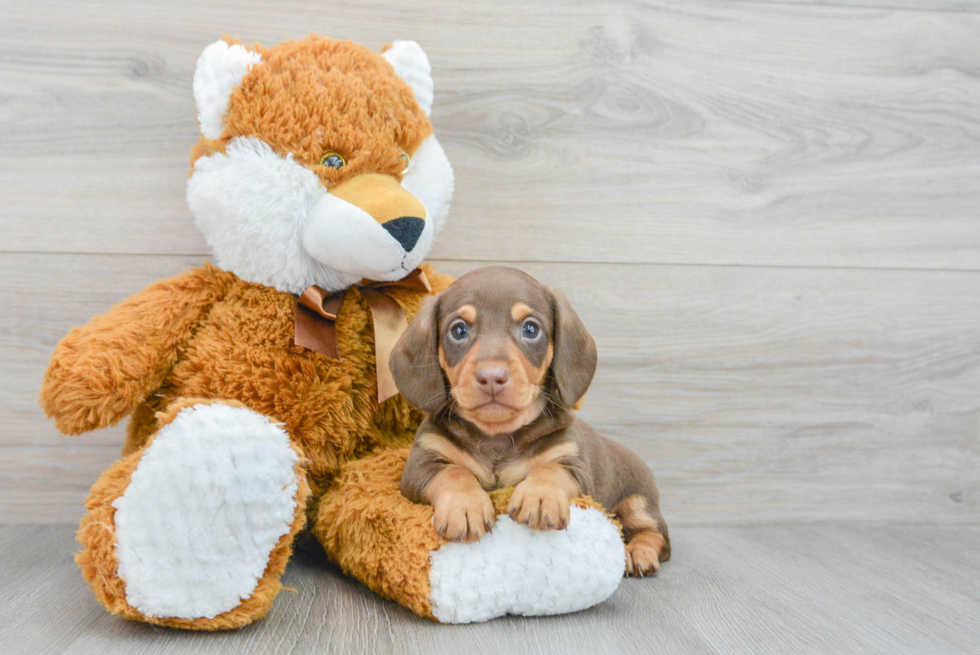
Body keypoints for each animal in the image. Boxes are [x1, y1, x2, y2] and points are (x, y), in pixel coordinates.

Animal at [388, 266, 668, 576]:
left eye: (530, 329)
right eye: (458, 330)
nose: (491, 377)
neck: (497, 437)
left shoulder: (574, 466)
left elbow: (550, 469)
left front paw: (540, 496)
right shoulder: (419, 466)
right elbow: (454, 472)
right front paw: (465, 505)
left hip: (638, 502)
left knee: (656, 534)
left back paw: (638, 553)